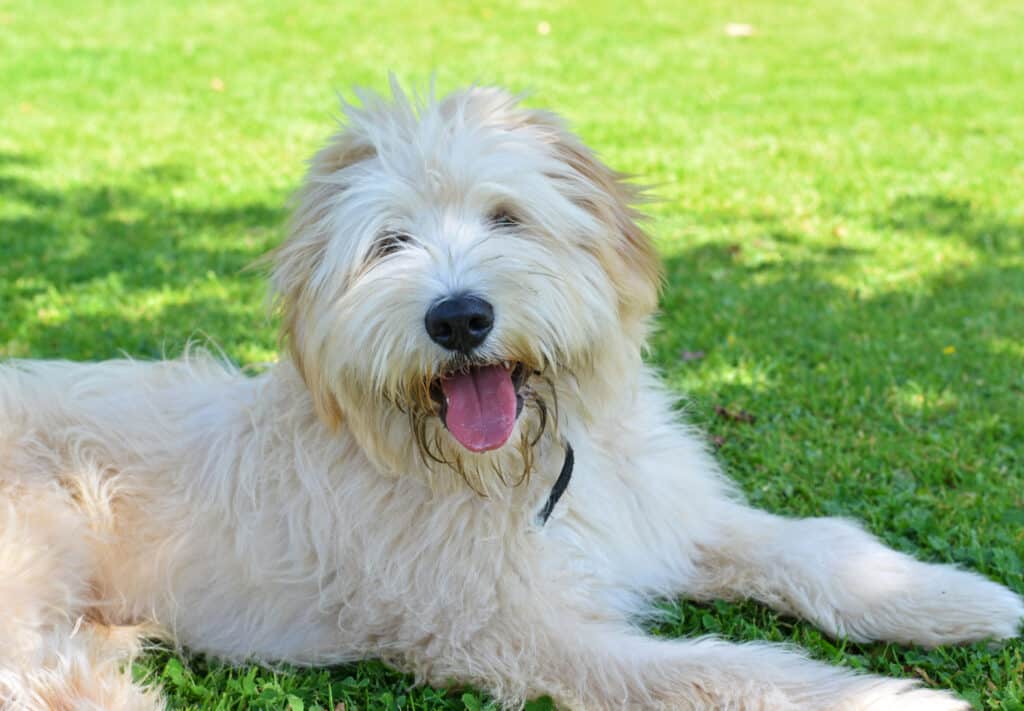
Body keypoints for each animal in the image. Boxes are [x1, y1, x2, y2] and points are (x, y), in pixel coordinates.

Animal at [2, 81, 1024, 708]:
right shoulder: (520, 636)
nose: (459, 317)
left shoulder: (664, 514)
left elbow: (817, 546)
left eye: (507, 217)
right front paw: (884, 694)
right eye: (390, 244)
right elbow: (731, 670)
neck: (528, 470)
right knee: (42, 677)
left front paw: (959, 599)